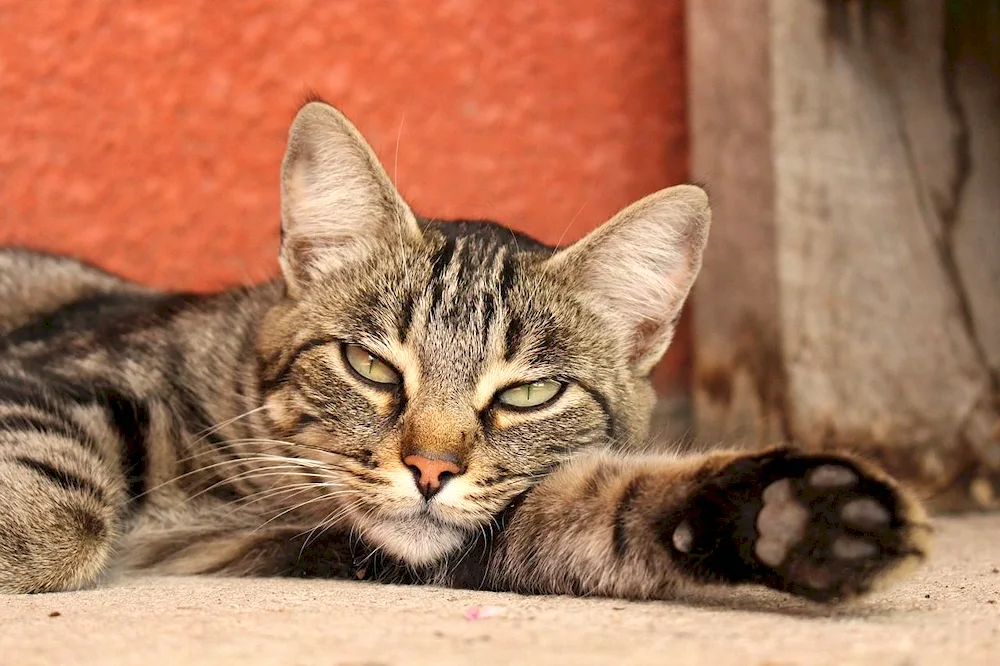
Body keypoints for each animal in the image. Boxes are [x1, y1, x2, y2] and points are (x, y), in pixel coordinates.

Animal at [0, 101, 928, 600]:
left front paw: (793, 516)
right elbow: (62, 511)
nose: (431, 471)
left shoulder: (452, 541)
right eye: (371, 365)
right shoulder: (59, 373)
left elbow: (609, 509)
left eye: (527, 396)